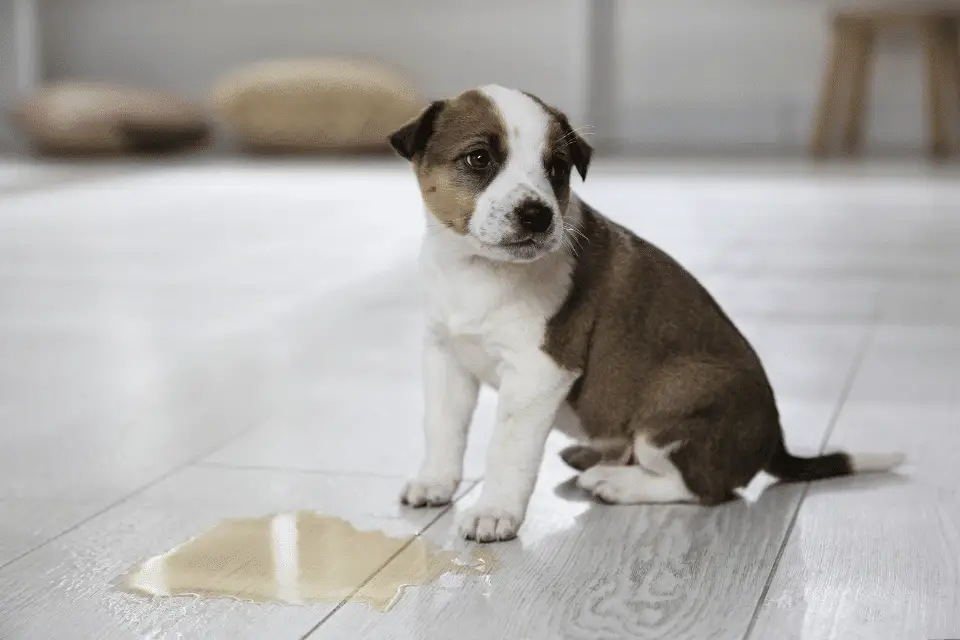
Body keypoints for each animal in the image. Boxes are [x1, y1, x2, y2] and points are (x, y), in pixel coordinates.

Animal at [386, 85, 904, 544]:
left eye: (556, 168)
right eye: (478, 159)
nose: (537, 214)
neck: (475, 268)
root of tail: (774, 440)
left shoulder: (538, 374)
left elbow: (507, 451)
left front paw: (495, 512)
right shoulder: (445, 355)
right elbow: (443, 428)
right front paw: (435, 481)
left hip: (674, 401)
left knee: (704, 488)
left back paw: (615, 483)